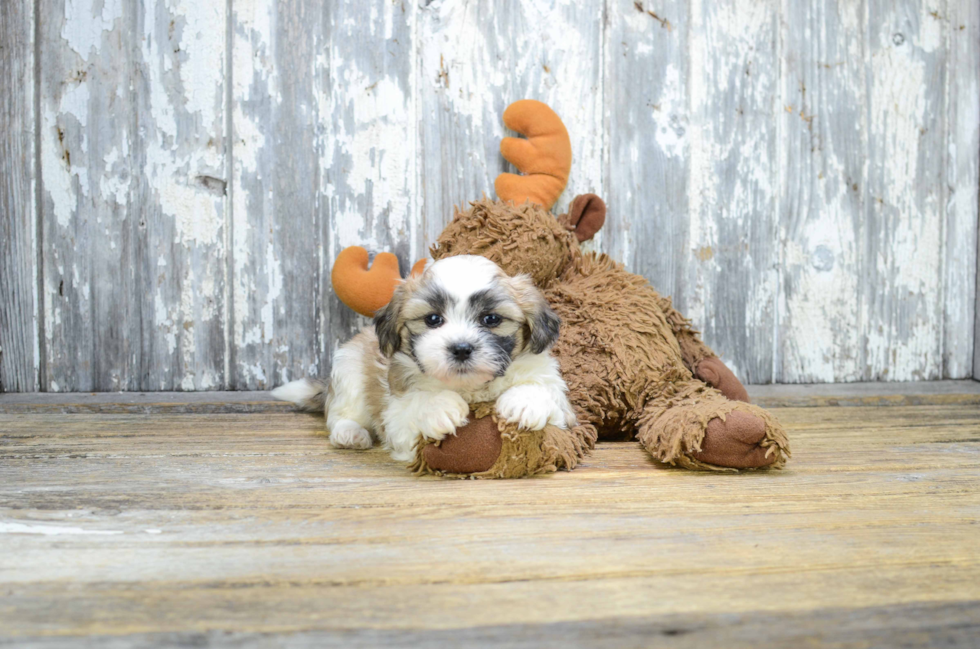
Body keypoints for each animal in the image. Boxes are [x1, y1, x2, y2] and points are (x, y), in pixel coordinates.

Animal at [272, 253, 580, 460]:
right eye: (433, 319)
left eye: (491, 319)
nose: (461, 348)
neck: (471, 389)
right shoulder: (395, 419)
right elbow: (412, 407)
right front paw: (438, 406)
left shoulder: (564, 414)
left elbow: (546, 393)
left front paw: (525, 401)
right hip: (349, 367)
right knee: (342, 411)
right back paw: (350, 433)